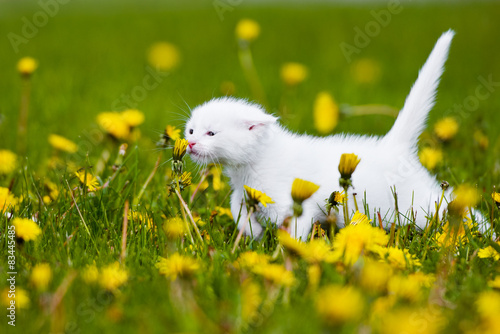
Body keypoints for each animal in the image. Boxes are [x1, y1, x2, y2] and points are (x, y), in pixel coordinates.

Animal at [186, 30, 486, 240]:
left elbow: (295, 231)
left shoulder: (294, 202)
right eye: (191, 129)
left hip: (418, 201)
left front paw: (290, 258)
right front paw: (255, 234)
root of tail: (394, 146)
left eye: (211, 133)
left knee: (454, 206)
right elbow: (237, 210)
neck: (251, 166)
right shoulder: (244, 193)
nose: (189, 143)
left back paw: (486, 233)